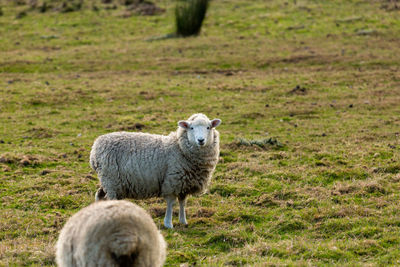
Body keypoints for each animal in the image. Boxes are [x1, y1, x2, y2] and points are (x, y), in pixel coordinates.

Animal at [90, 114, 222, 229]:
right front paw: (168, 223)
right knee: (110, 198)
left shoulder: (184, 183)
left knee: (99, 194)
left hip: (108, 180)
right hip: (111, 180)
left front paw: (183, 221)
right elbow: (171, 203)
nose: (201, 140)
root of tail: (94, 149)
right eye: (191, 127)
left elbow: (182, 202)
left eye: (208, 127)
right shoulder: (172, 181)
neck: (179, 147)